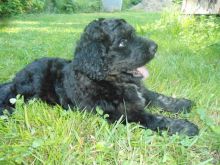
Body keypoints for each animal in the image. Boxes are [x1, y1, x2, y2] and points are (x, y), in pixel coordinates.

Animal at [0, 18, 199, 136]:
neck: (109, 80)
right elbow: (153, 118)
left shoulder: (140, 92)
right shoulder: (122, 114)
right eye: (122, 42)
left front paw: (182, 104)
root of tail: (16, 77)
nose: (155, 47)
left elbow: (158, 97)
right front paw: (184, 127)